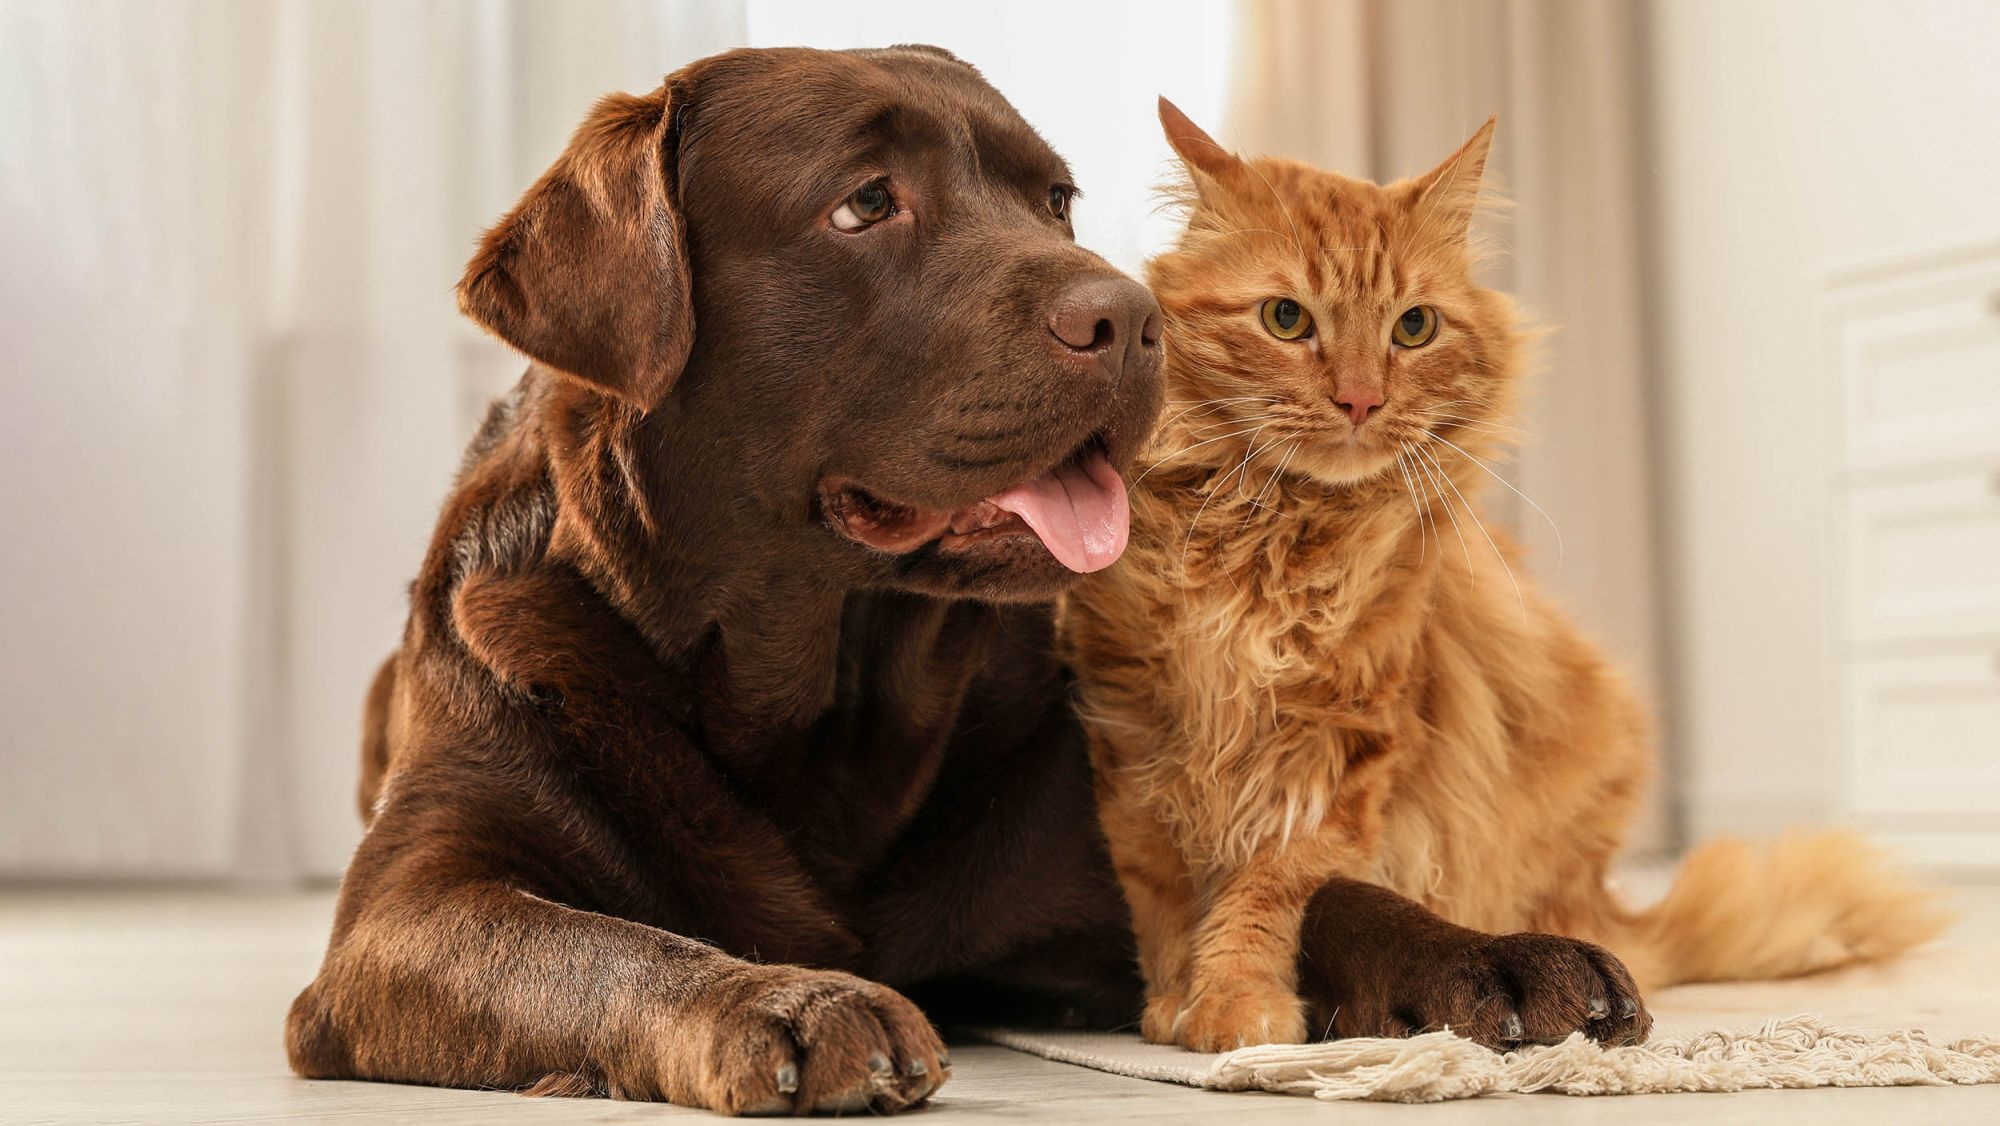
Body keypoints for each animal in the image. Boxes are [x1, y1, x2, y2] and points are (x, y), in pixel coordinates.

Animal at [1072, 101, 1944, 1056]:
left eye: (1413, 328)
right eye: (1285, 319)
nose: (1361, 401)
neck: (1271, 536)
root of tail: (1599, 899)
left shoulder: (1342, 748)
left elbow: (1270, 888)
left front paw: (1237, 1005)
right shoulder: (1135, 730)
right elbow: (1159, 889)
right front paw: (1173, 1001)